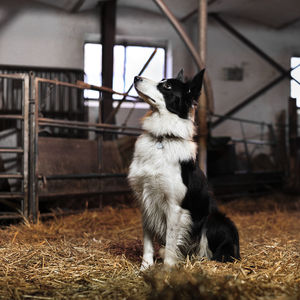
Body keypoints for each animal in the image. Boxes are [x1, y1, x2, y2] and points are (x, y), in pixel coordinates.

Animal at [127, 70, 240, 270]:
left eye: (167, 86)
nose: (136, 77)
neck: (162, 138)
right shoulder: (145, 201)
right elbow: (147, 241)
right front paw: (145, 267)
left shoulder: (175, 207)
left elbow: (172, 242)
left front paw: (166, 270)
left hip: (213, 219)